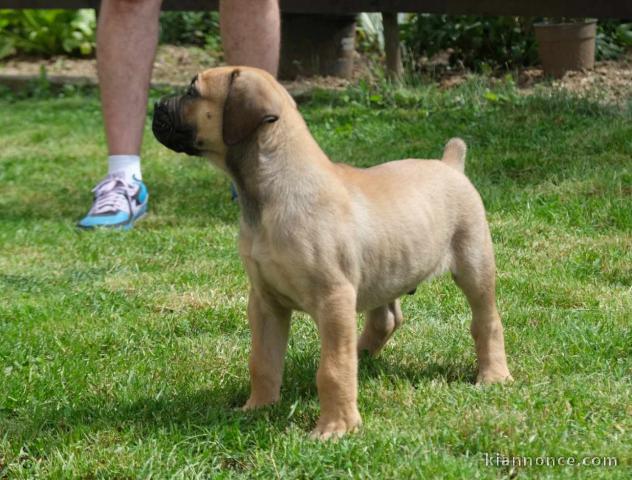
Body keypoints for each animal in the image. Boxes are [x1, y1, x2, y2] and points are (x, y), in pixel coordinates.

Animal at [153, 66, 512, 438]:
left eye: (192, 93)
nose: (155, 107)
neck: (271, 193)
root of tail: (450, 164)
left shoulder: (334, 298)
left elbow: (333, 369)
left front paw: (336, 427)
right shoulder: (265, 301)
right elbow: (262, 360)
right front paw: (258, 407)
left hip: (474, 263)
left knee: (486, 320)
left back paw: (493, 375)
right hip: (384, 268)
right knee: (386, 319)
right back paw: (362, 354)